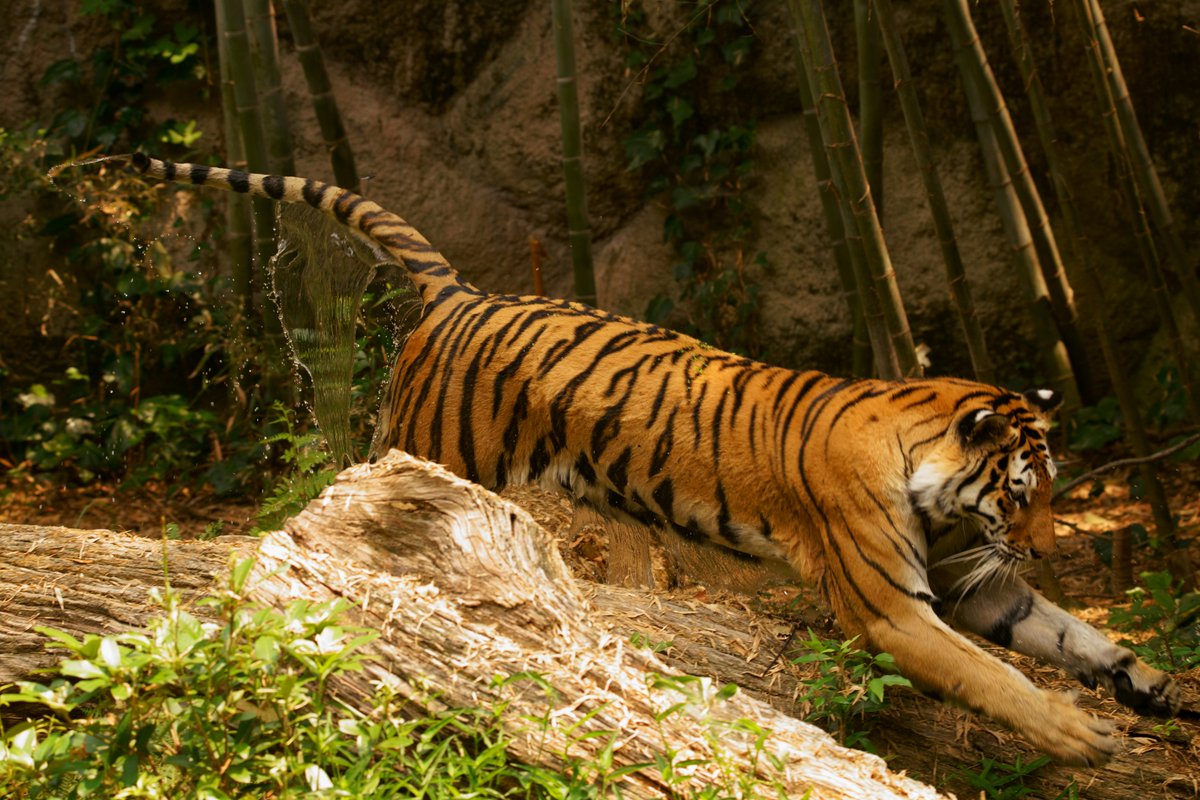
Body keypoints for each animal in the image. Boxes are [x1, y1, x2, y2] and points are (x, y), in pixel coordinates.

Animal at [122, 152, 1179, 765]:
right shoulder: (891, 610)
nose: (1046, 548)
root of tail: (461, 292)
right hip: (421, 454)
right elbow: (994, 676)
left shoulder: (976, 585)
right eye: (1024, 494)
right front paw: (1079, 735)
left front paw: (1152, 687)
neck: (939, 483)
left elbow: (1077, 638)